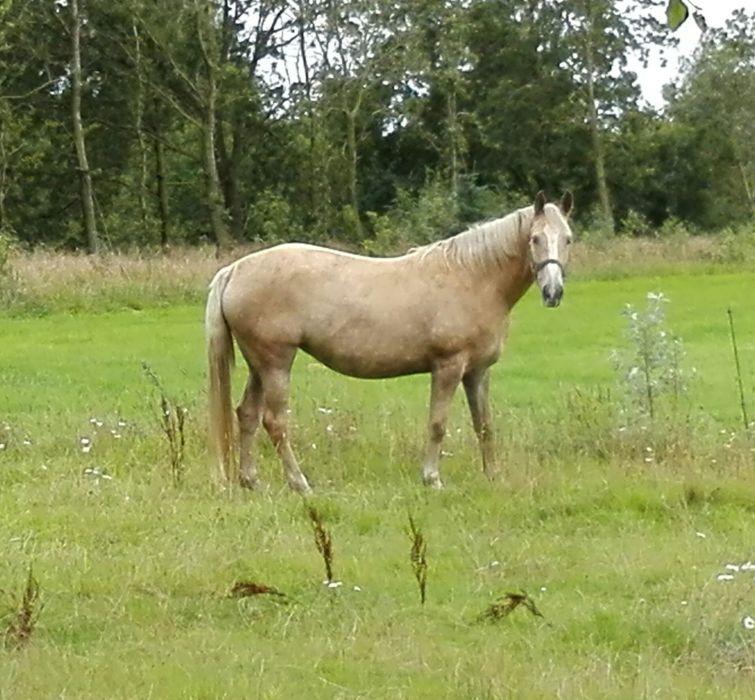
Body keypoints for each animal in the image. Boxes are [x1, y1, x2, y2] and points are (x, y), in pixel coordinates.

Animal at [205, 189, 572, 490]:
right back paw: (299, 483)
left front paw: (492, 476)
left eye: (567, 239)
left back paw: (251, 481)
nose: (553, 293)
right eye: (535, 238)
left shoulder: (478, 371)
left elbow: (484, 424)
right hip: (277, 363)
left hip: (259, 366)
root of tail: (235, 270)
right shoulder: (449, 366)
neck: (473, 278)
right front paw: (432, 478)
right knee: (275, 421)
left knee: (247, 415)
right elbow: (438, 423)